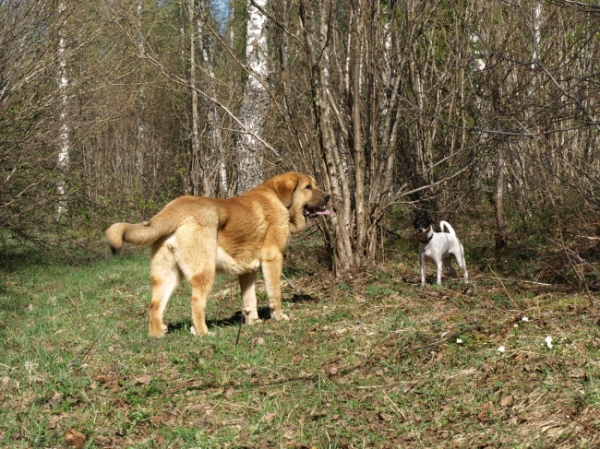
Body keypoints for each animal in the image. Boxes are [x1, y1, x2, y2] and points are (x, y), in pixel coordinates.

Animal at [106, 171, 330, 336]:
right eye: (308, 187)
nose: (328, 196)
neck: (279, 199)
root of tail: (176, 207)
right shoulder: (273, 258)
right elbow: (275, 293)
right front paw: (279, 317)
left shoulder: (247, 271)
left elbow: (249, 300)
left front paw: (253, 322)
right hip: (205, 272)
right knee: (196, 303)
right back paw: (203, 333)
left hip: (166, 276)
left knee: (155, 305)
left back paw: (157, 334)